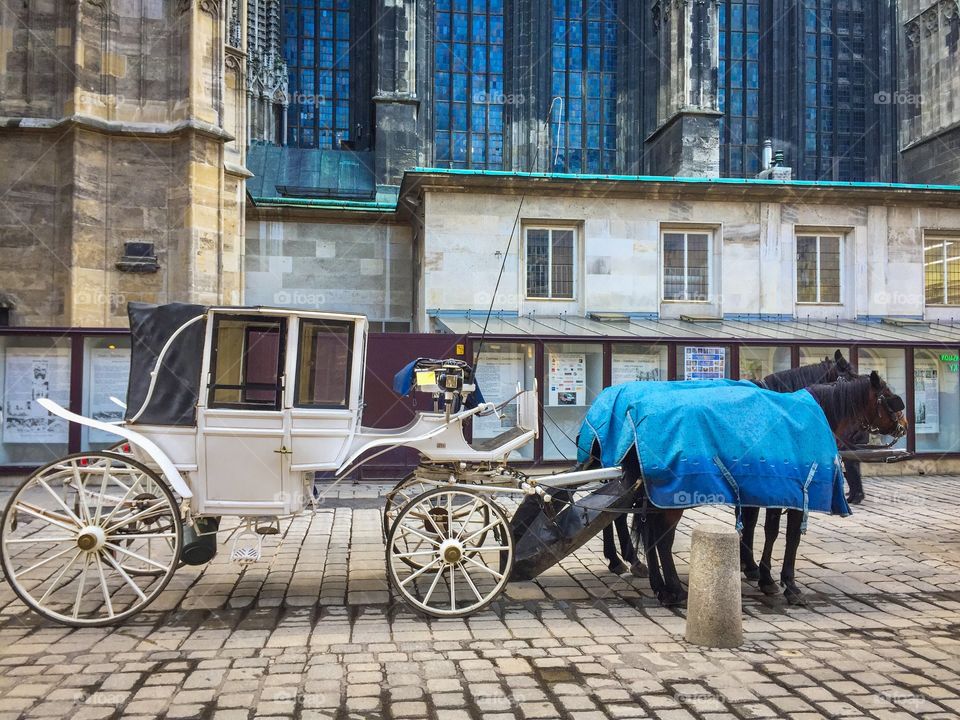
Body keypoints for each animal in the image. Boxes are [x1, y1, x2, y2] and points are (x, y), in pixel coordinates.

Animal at [632, 372, 908, 608]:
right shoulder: (795, 491)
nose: (904, 425)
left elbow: (766, 530)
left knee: (650, 533)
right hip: (673, 497)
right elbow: (789, 536)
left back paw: (660, 586)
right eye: (888, 395)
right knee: (663, 539)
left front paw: (761, 573)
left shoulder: (771, 493)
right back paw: (674, 590)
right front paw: (786, 583)